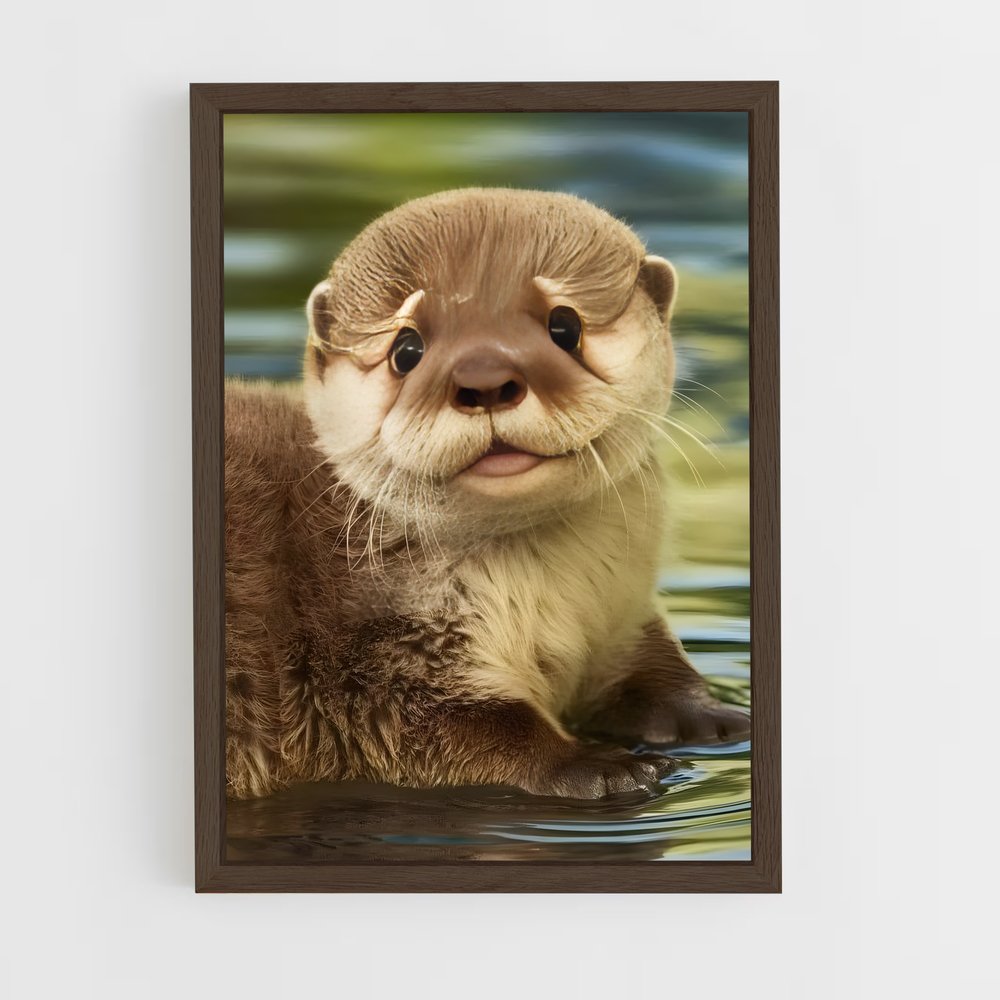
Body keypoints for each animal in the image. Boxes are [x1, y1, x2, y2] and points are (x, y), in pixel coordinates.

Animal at [224, 188, 749, 801]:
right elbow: (450, 726)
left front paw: (716, 717)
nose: (485, 378)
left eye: (564, 325)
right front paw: (602, 765)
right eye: (406, 348)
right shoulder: (370, 657)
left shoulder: (620, 612)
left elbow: (657, 671)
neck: (547, 597)